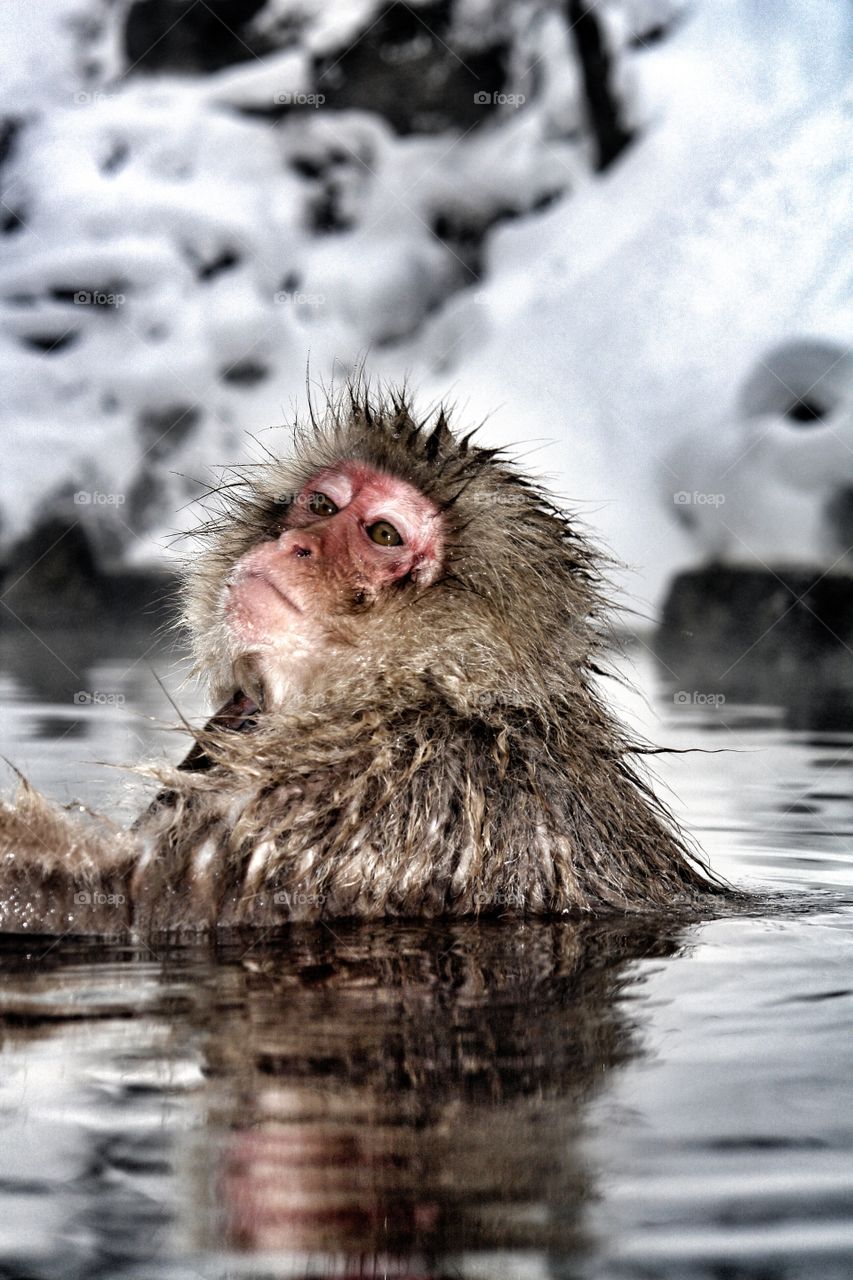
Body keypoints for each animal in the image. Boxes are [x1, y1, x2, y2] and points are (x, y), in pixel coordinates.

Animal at [0, 384, 722, 936]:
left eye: (380, 533)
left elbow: (139, 903)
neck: (414, 689)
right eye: (322, 505)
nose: (299, 544)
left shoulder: (393, 791)